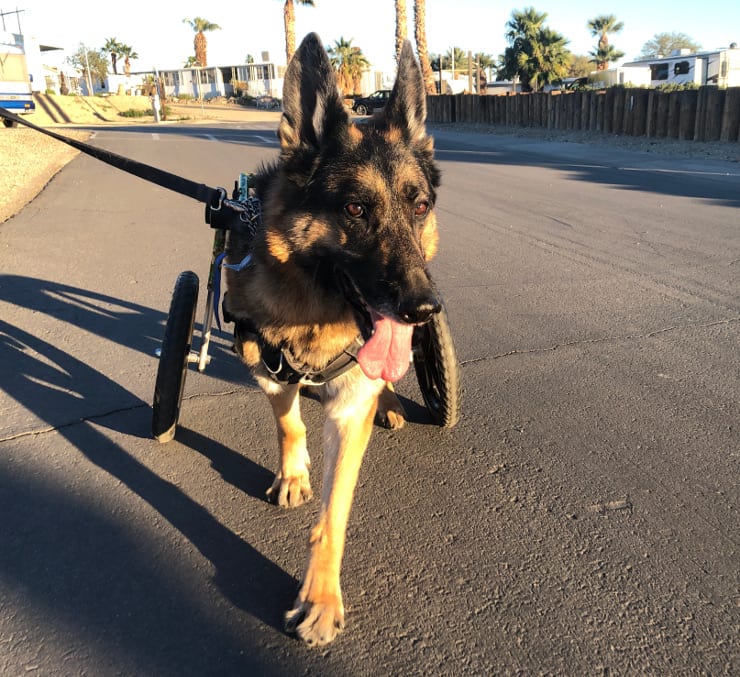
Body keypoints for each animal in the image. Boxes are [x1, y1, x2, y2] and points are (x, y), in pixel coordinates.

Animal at [223, 33, 442, 644]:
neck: (315, 313)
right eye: (355, 209)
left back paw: (390, 403)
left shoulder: (348, 409)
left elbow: (333, 514)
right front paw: (294, 474)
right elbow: (289, 422)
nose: (425, 309)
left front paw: (320, 596)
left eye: (419, 206)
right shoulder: (264, 365)